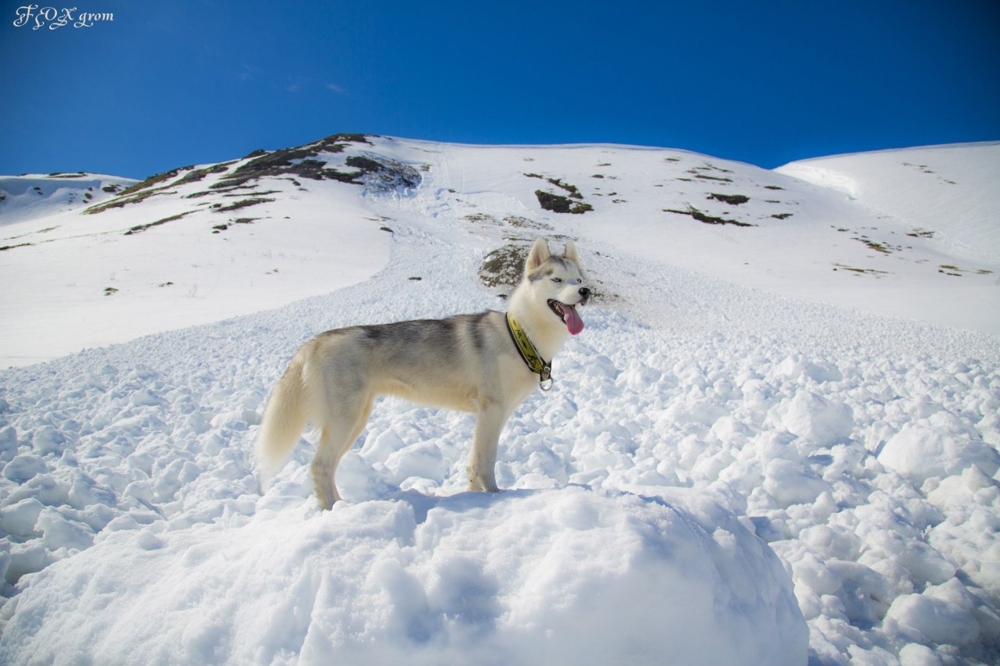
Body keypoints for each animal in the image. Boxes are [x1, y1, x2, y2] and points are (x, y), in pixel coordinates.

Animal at [254, 239, 588, 508]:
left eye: (579, 278)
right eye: (557, 279)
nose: (585, 291)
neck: (520, 336)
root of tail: (314, 341)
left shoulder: (493, 415)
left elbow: (473, 464)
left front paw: (475, 497)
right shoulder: (491, 412)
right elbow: (487, 463)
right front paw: (495, 496)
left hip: (356, 420)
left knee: (329, 466)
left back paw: (341, 505)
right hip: (344, 419)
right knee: (320, 466)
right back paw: (334, 511)